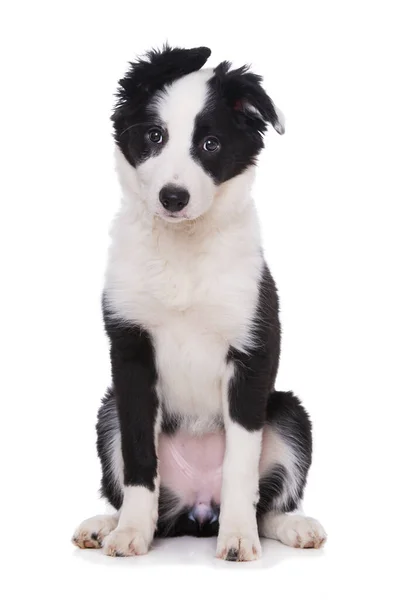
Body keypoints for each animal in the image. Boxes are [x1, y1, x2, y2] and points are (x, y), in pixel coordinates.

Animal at [73, 44, 326, 560]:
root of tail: (197, 507)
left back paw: (291, 526)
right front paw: (130, 531)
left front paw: (238, 538)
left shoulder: (253, 352)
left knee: (268, 503)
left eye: (210, 145)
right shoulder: (130, 352)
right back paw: (105, 524)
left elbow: (241, 465)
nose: (173, 197)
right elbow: (138, 456)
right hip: (107, 409)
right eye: (155, 136)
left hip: (290, 412)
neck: (183, 249)